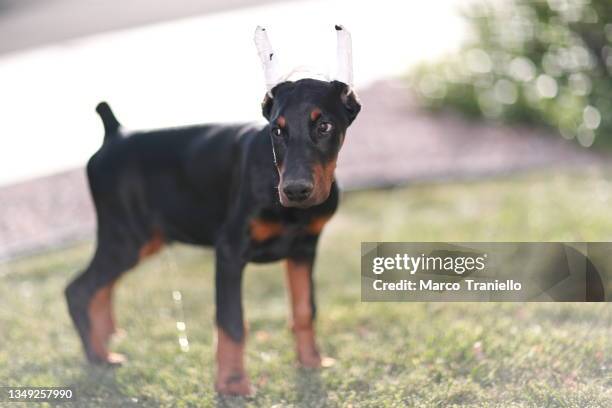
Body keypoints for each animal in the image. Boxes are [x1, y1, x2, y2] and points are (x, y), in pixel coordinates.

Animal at [63, 25, 358, 396]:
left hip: (142, 240)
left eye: (324, 126)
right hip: (126, 237)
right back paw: (99, 357)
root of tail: (114, 134)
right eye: (277, 130)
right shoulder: (230, 251)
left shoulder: (304, 249)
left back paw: (107, 339)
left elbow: (305, 309)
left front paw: (311, 363)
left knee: (101, 287)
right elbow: (231, 322)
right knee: (79, 290)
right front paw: (233, 385)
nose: (295, 191)